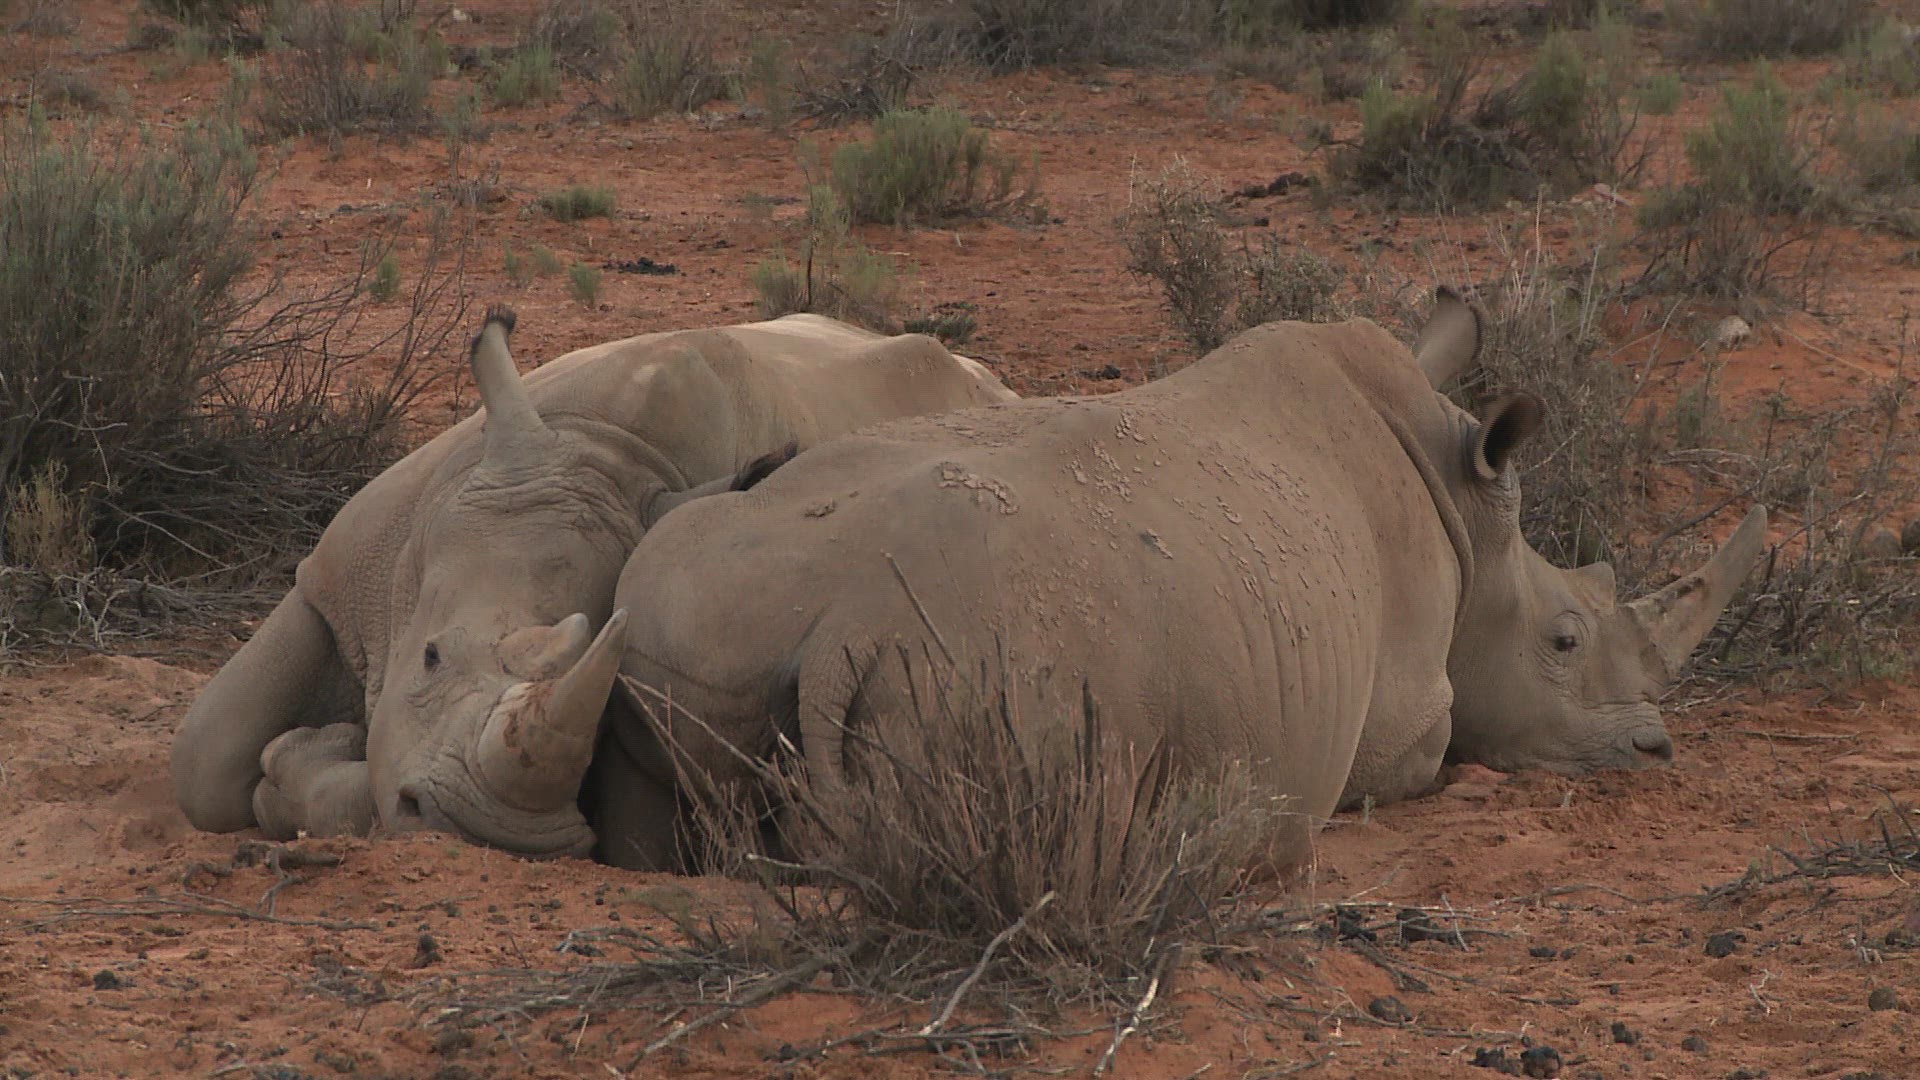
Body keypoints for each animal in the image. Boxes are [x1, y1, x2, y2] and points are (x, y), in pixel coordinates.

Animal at [170, 307, 1016, 858]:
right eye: (431, 657)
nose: (483, 833)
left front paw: (310, 765)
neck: (599, 449)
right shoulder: (340, 572)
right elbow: (206, 759)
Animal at [568, 289, 1768, 870]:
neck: (1467, 514)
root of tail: (841, 631)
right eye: (1566, 641)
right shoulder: (1406, 723)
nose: (1655, 751)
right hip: (1005, 669)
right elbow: (1437, 753)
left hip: (684, 616)